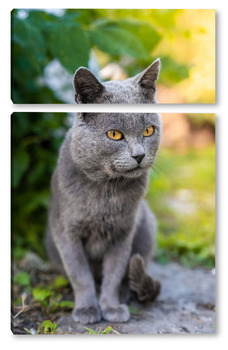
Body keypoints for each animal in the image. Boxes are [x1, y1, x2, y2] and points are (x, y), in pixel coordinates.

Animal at [45, 60, 161, 326]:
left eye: (148, 131)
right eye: (114, 134)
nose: (139, 155)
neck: (107, 192)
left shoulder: (123, 234)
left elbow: (114, 274)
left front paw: (111, 307)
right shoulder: (66, 232)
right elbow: (80, 275)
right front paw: (87, 309)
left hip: (147, 225)